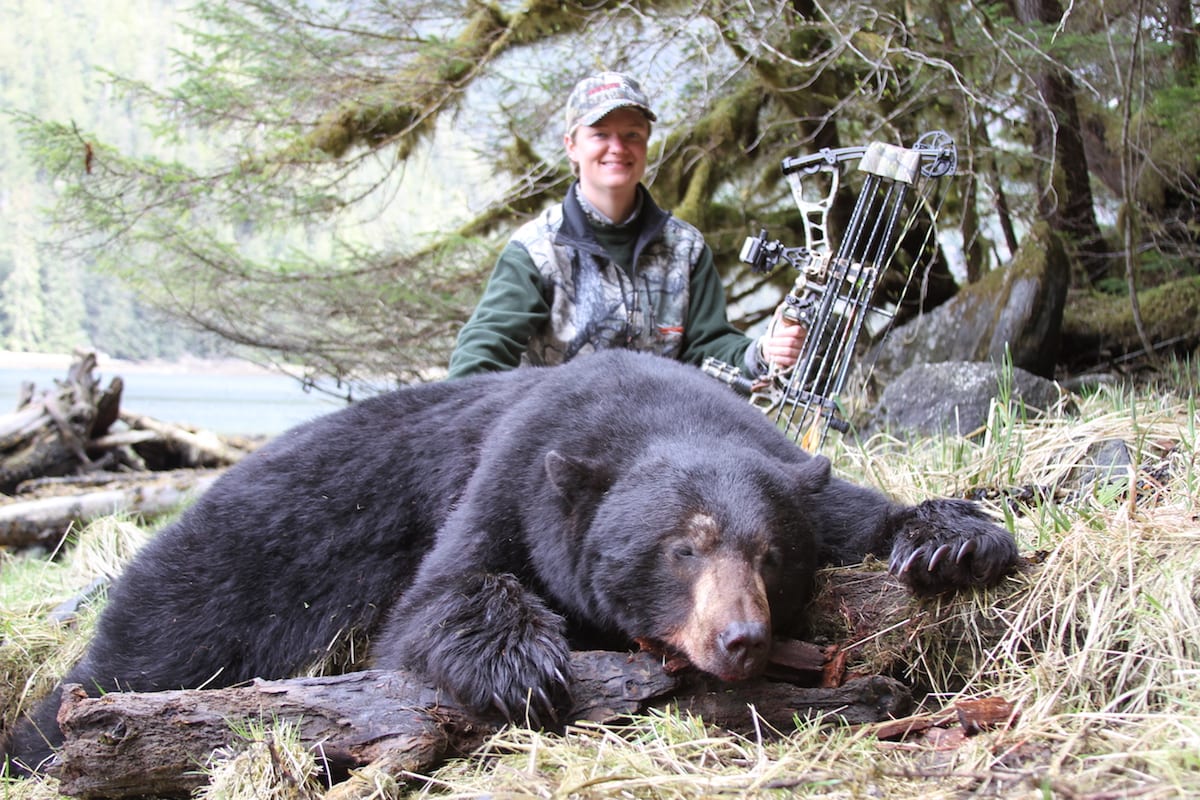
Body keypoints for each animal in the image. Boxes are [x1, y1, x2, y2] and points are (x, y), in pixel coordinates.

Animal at [2, 352, 1012, 777]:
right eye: (681, 547)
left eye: (771, 554)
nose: (742, 639)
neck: (646, 408)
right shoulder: (516, 471)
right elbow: (437, 599)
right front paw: (526, 666)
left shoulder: (793, 472)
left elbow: (865, 512)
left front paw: (955, 538)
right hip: (236, 563)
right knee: (151, 645)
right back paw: (50, 736)